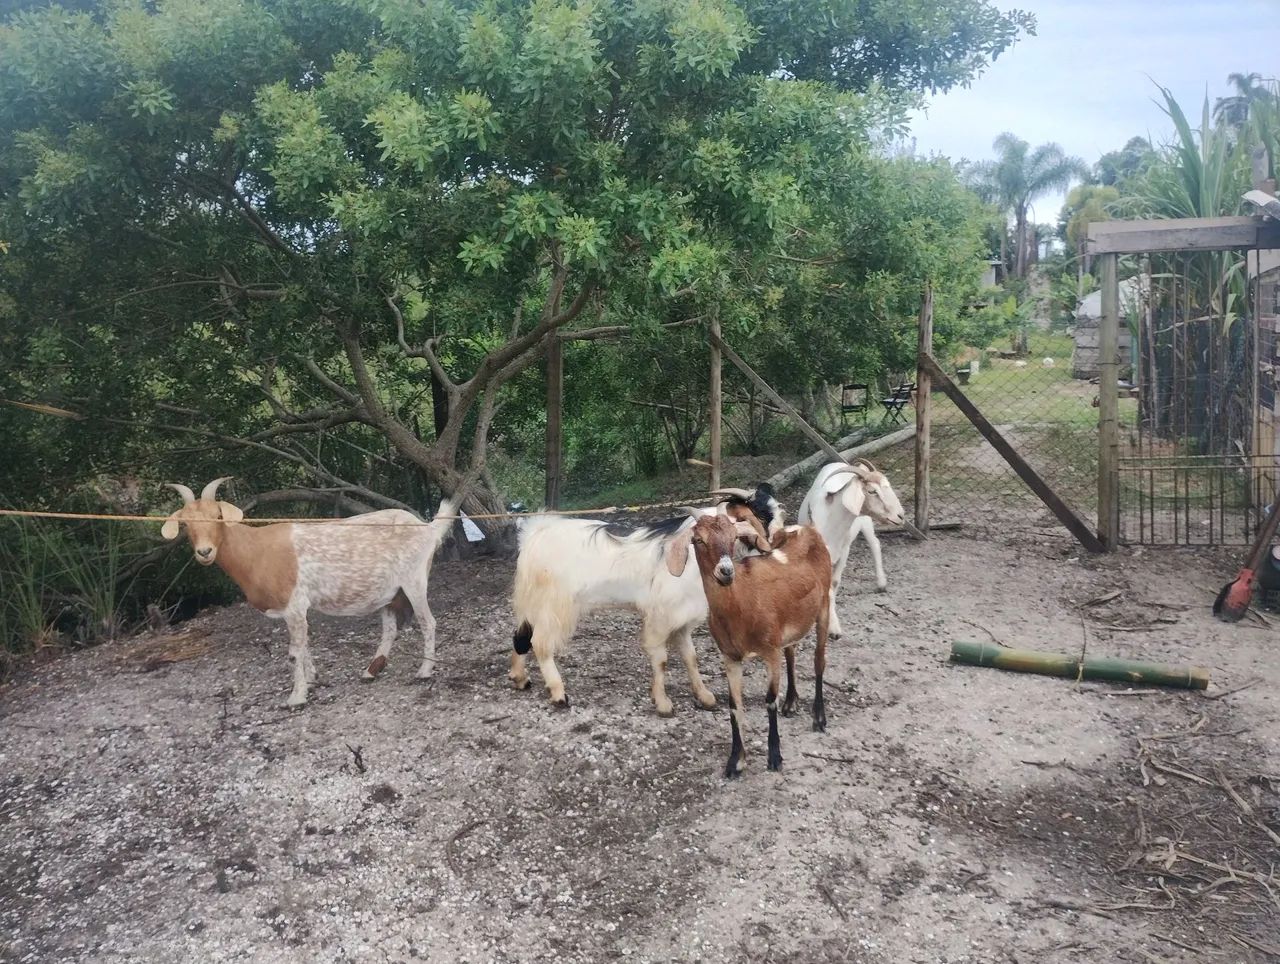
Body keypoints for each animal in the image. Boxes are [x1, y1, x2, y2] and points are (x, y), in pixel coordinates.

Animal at [160, 478, 457, 708]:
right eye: (185, 523)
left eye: (218, 517)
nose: (205, 551)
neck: (256, 550)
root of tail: (428, 527)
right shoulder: (296, 610)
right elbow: (304, 646)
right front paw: (312, 680)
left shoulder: (293, 605)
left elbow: (294, 651)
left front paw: (296, 697)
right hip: (388, 590)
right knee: (390, 629)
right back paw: (371, 671)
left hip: (414, 579)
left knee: (428, 622)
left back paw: (424, 671)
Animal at [508, 484, 781, 716]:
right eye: (762, 516)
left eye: (734, 535)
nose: (775, 544)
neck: (691, 559)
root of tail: (535, 534)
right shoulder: (662, 615)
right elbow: (661, 659)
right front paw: (663, 704)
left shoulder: (682, 618)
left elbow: (690, 657)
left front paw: (704, 696)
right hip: (555, 605)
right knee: (540, 642)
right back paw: (558, 694)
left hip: (534, 601)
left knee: (521, 635)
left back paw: (520, 678)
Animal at [671, 514, 832, 777]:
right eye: (698, 540)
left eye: (733, 537)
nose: (726, 571)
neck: (742, 603)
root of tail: (804, 529)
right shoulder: (730, 656)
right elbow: (734, 704)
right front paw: (736, 761)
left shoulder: (770, 651)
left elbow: (769, 700)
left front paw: (774, 757)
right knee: (791, 651)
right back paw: (791, 702)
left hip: (825, 606)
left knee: (819, 660)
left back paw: (819, 718)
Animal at [797, 459, 905, 638]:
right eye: (872, 491)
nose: (900, 516)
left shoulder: (844, 550)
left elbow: (834, 583)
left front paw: (833, 628)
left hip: (865, 521)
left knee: (875, 543)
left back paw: (881, 583)